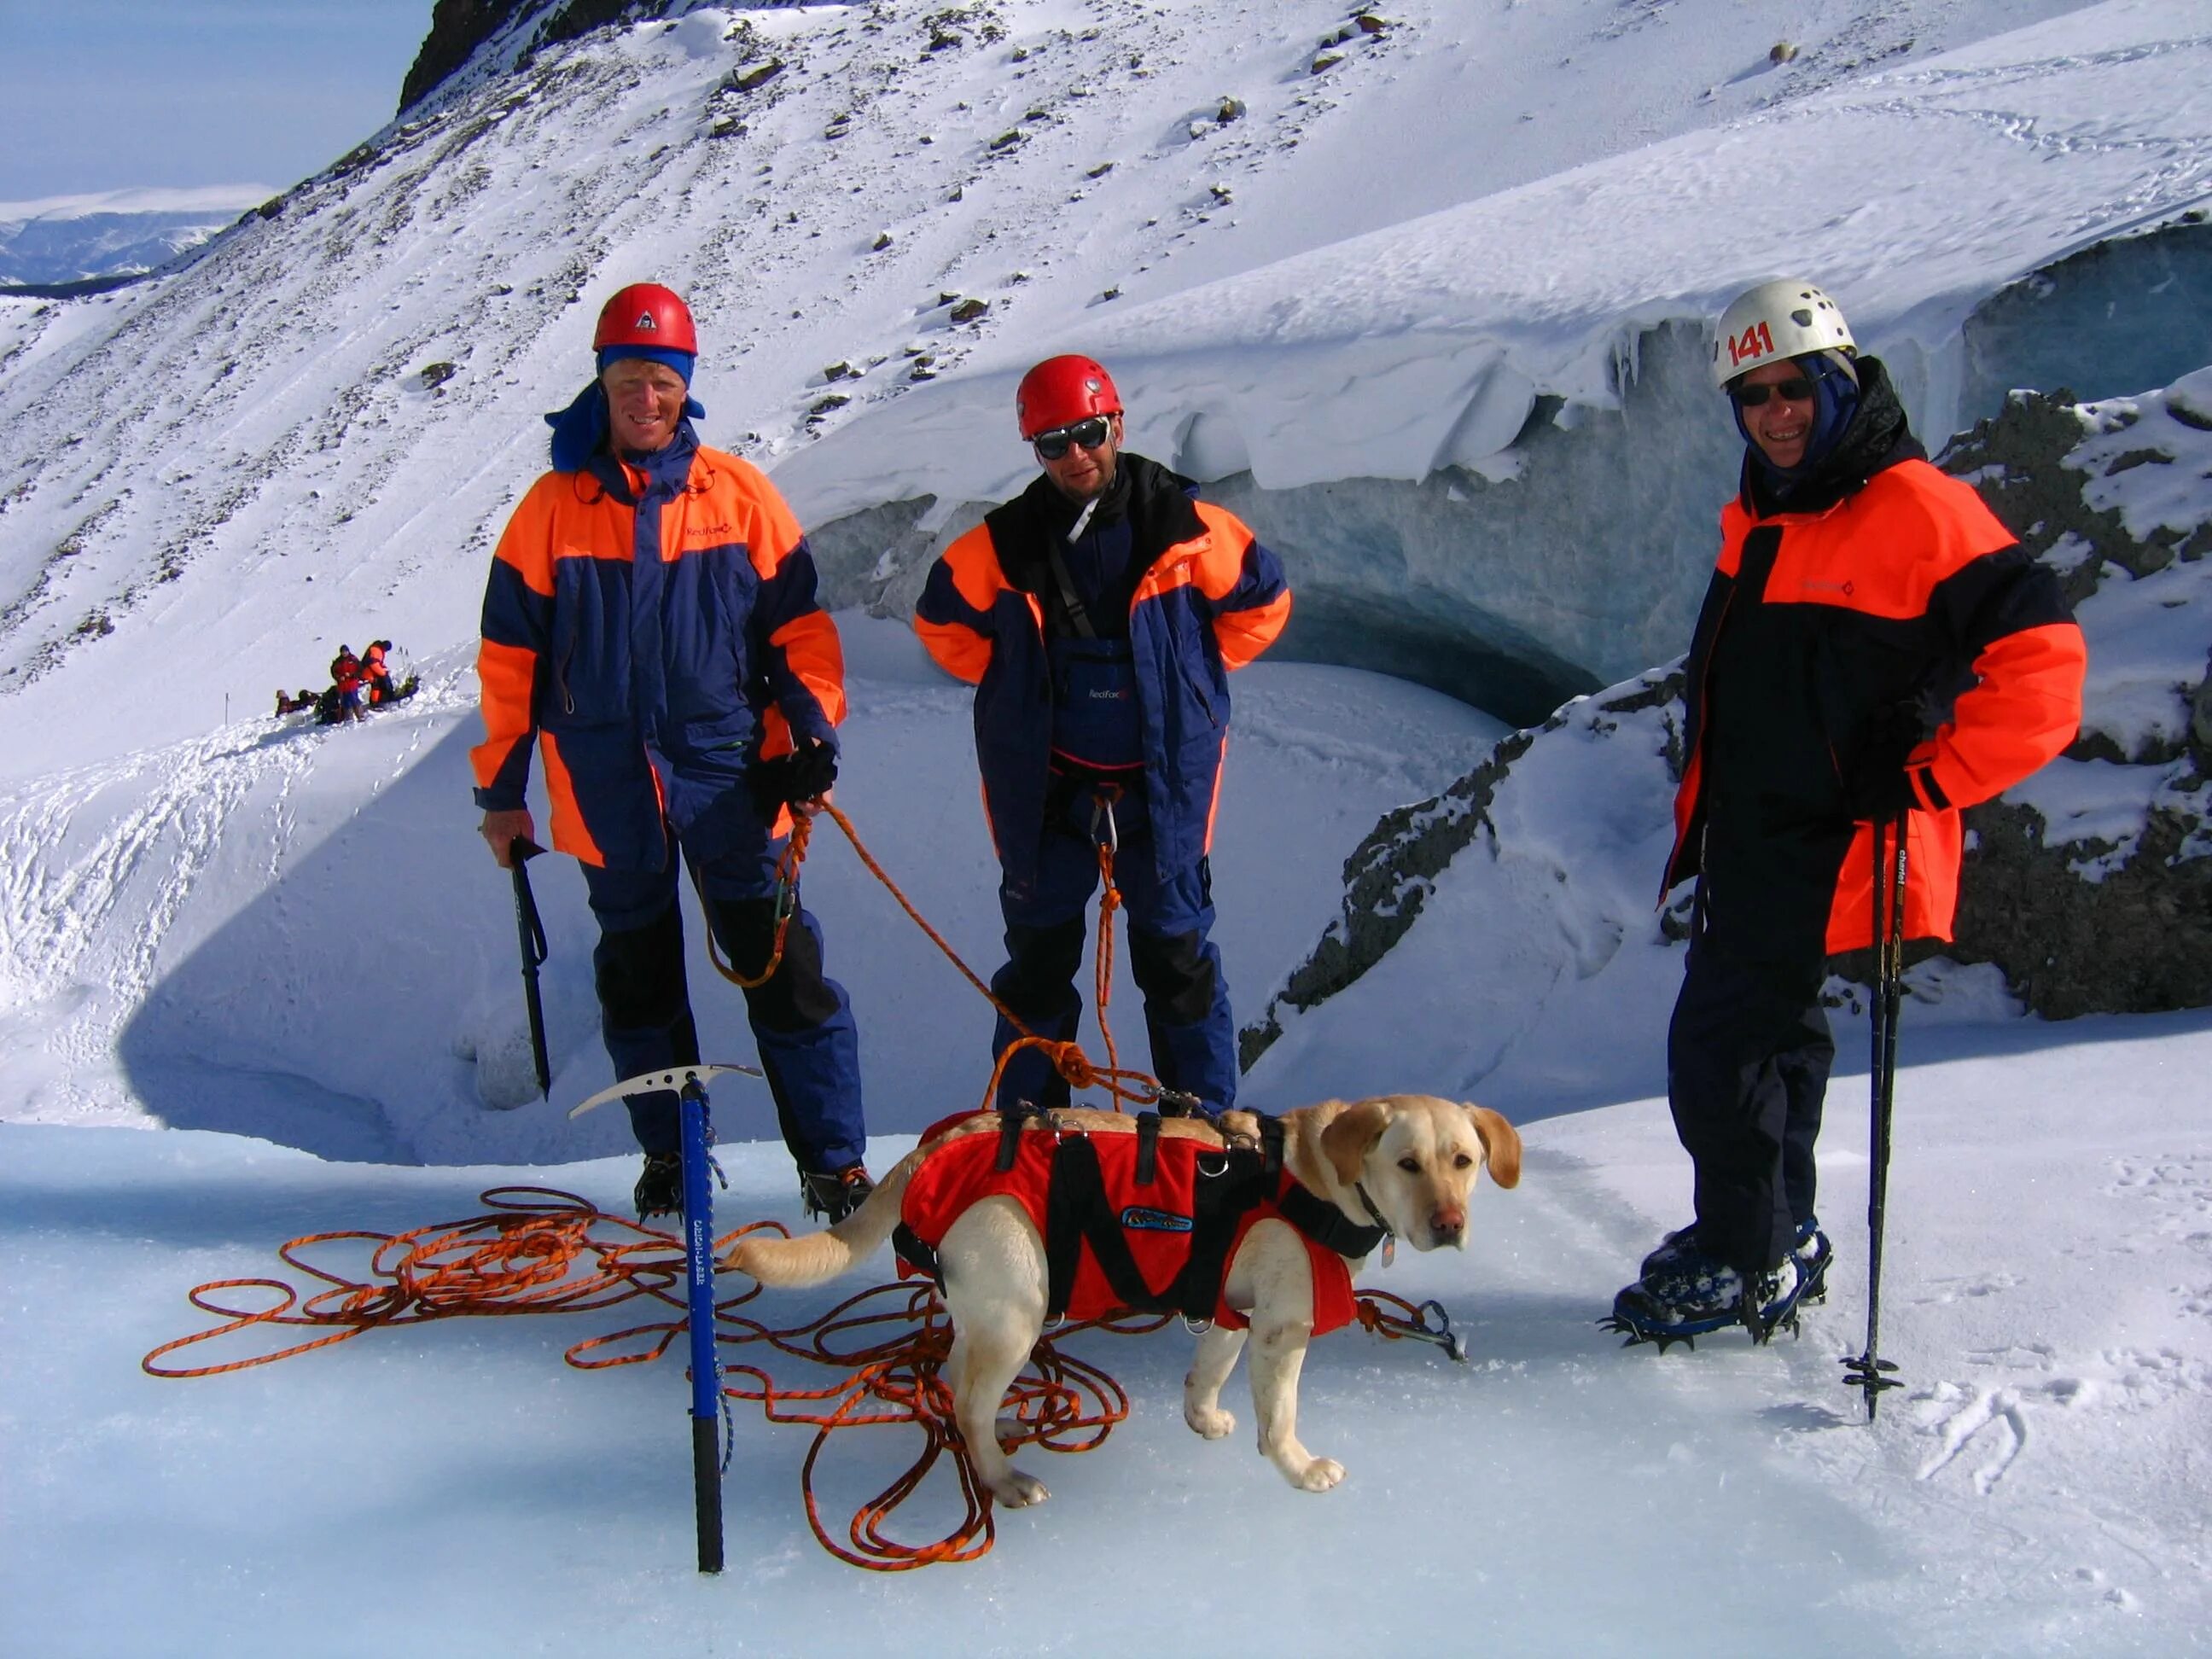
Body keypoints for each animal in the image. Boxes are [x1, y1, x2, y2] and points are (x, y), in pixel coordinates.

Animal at [725, 1097, 1522, 1512]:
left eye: (1464, 1162)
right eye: (1407, 1164)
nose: (1449, 1223)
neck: (1322, 1181)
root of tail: (938, 1148)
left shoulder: (1232, 1311)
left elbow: (1207, 1370)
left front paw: (1203, 1418)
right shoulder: (1281, 1330)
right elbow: (1282, 1416)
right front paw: (1298, 1467)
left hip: (983, 1312)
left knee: (954, 1378)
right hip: (1019, 1313)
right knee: (969, 1404)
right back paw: (1003, 1478)